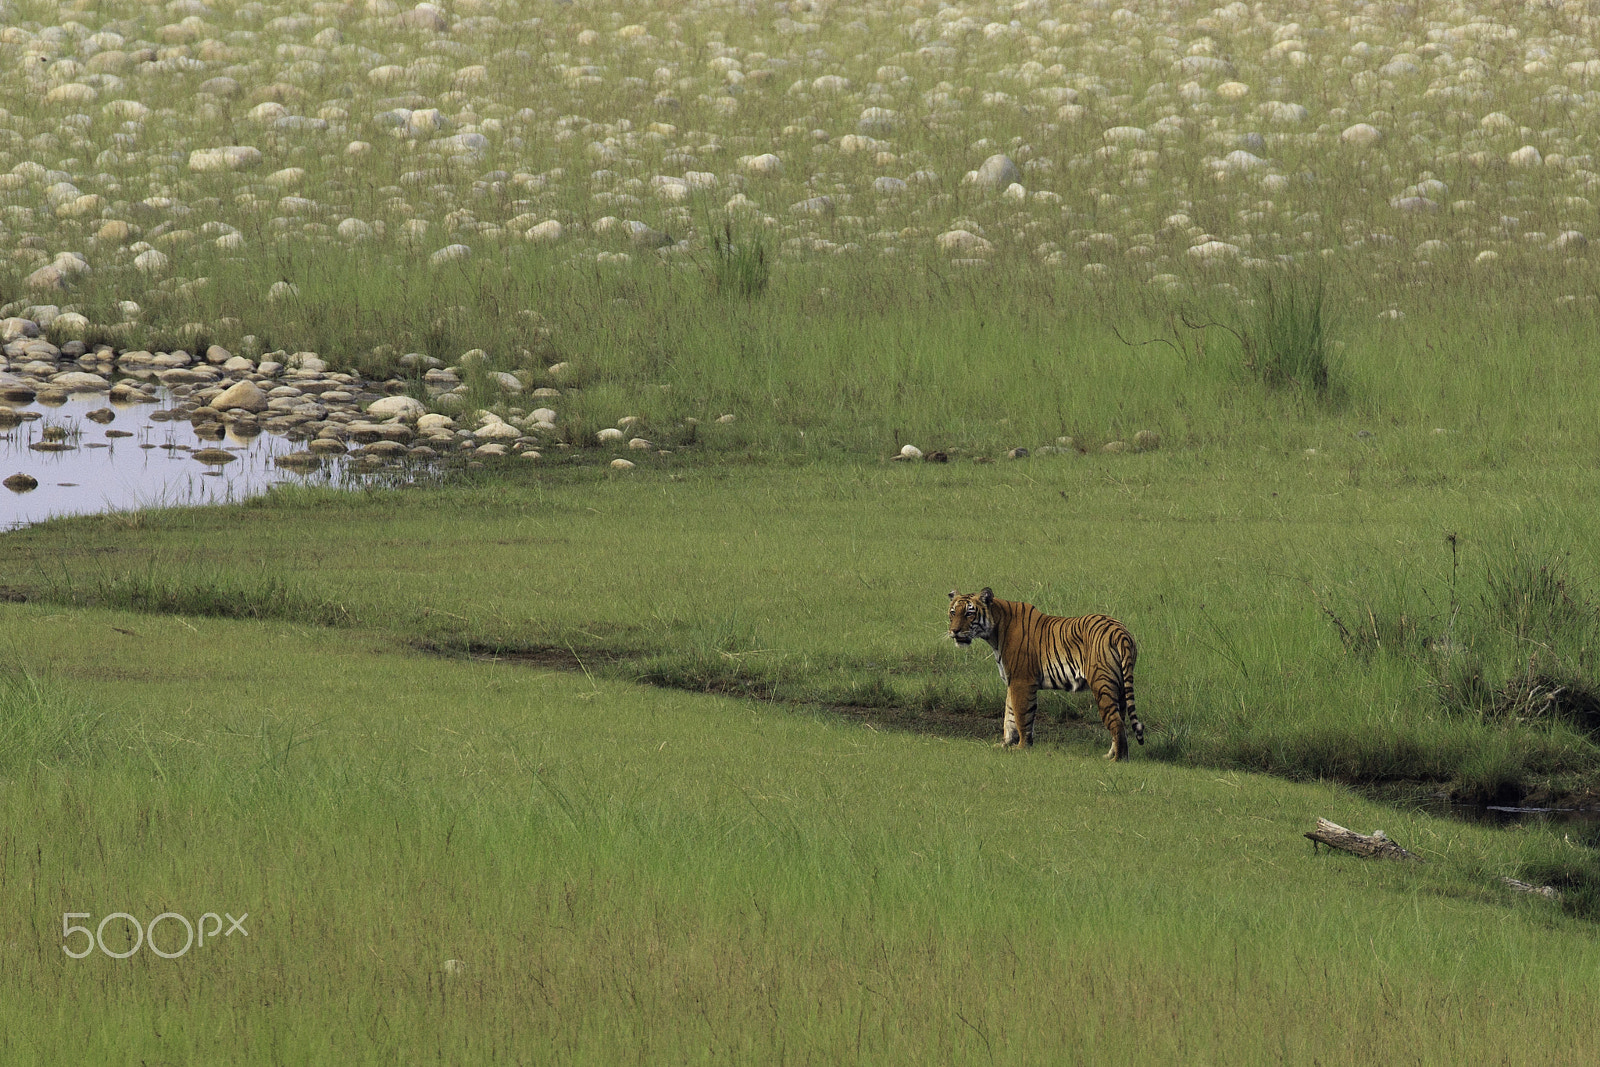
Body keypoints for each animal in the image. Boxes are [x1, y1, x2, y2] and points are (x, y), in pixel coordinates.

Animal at [948, 587, 1144, 760]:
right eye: (953, 613)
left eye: (969, 613)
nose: (954, 631)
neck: (994, 632)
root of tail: (1119, 630)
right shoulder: (1012, 681)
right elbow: (1009, 715)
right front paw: (1005, 744)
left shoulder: (1021, 681)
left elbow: (1021, 716)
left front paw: (1021, 747)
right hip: (1120, 688)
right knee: (1120, 721)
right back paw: (1110, 755)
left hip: (1102, 684)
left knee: (1117, 723)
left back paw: (1117, 760)